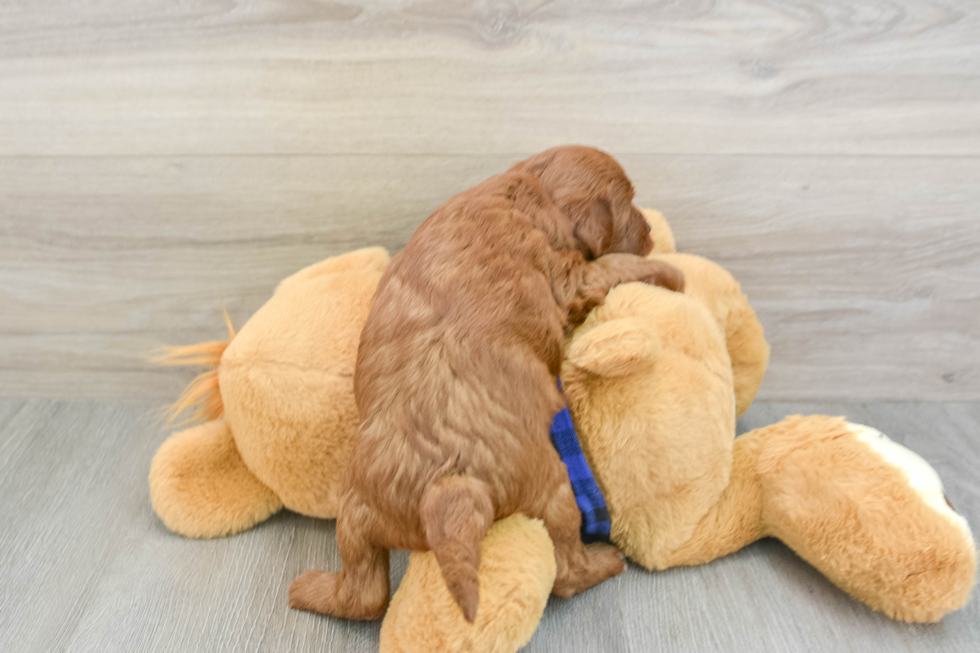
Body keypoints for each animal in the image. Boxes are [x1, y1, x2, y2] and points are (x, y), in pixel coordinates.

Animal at [290, 146, 684, 620]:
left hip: (356, 510)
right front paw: (669, 272)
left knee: (364, 592)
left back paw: (308, 589)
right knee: (567, 567)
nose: (651, 230)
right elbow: (616, 265)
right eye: (629, 204)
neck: (530, 191)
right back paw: (605, 563)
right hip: (550, 490)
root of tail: (446, 488)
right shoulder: (571, 278)